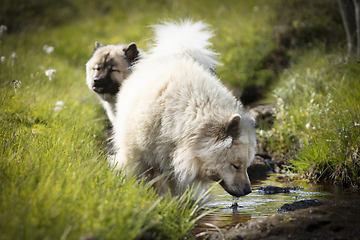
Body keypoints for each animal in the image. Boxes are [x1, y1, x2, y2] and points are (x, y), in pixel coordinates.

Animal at [112, 20, 256, 198]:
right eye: (235, 166)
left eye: (247, 165)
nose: (248, 190)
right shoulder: (137, 154)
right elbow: (136, 176)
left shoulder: (175, 168)